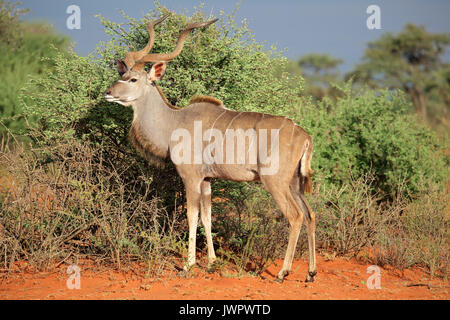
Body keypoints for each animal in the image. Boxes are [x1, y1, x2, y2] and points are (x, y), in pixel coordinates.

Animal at [105, 13, 316, 282]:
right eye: (121, 75)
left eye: (133, 79)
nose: (108, 92)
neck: (174, 122)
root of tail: (304, 135)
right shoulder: (207, 179)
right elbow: (207, 216)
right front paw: (212, 263)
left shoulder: (191, 177)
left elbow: (191, 215)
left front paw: (189, 264)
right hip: (295, 183)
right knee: (310, 215)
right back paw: (311, 273)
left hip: (275, 182)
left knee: (295, 216)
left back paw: (282, 272)